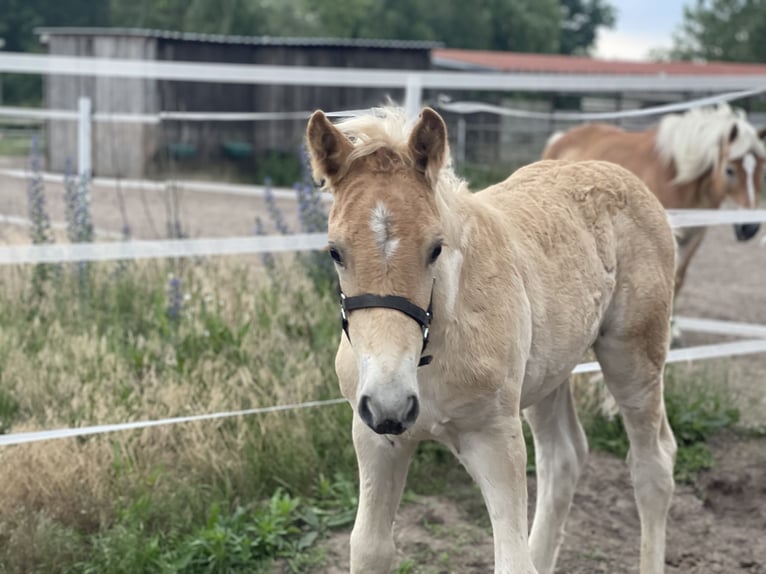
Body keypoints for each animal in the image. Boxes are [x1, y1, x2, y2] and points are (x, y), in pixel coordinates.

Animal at [306, 108, 680, 574]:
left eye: (435, 248)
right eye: (335, 251)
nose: (392, 405)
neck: (431, 352)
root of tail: (616, 172)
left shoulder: (494, 437)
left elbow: (511, 559)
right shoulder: (375, 437)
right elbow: (370, 548)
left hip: (633, 356)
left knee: (653, 465)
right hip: (548, 374)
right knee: (564, 458)